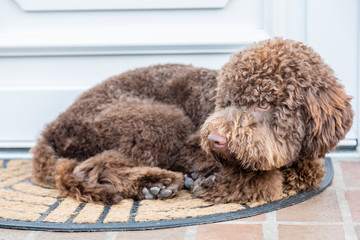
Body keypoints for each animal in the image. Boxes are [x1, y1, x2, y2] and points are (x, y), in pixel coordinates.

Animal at [31, 39, 352, 204]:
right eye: (227, 100)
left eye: (263, 103)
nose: (215, 140)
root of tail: (54, 127)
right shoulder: (189, 148)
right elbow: (269, 180)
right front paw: (214, 182)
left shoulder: (308, 157)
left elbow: (308, 172)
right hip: (154, 121)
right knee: (87, 168)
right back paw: (155, 182)